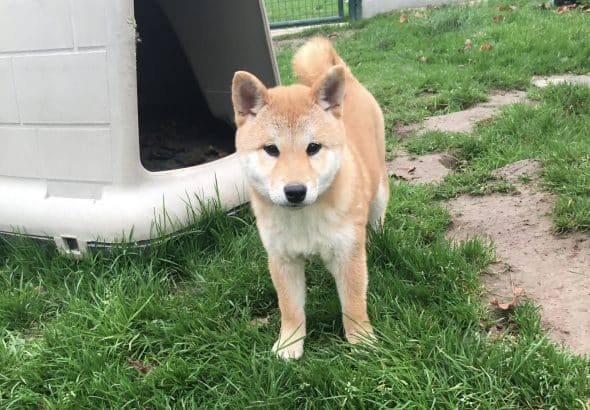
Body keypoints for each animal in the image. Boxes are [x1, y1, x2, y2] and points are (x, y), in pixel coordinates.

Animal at [234, 37, 390, 358]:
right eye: (271, 149)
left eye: (313, 147)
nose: (295, 191)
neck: (304, 221)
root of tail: (350, 81)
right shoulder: (281, 259)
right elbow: (291, 308)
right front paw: (289, 344)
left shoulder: (348, 253)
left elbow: (353, 304)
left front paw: (362, 341)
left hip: (379, 188)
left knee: (377, 217)